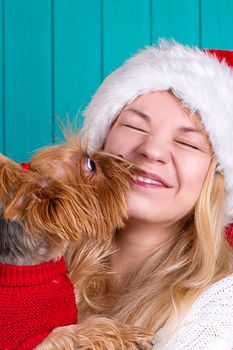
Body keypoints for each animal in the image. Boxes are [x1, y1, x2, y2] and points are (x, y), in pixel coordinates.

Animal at [0, 135, 153, 350]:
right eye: (90, 165)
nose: (121, 156)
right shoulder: (38, 341)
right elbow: (80, 330)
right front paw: (130, 334)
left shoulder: (69, 296)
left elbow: (78, 279)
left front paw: (97, 250)